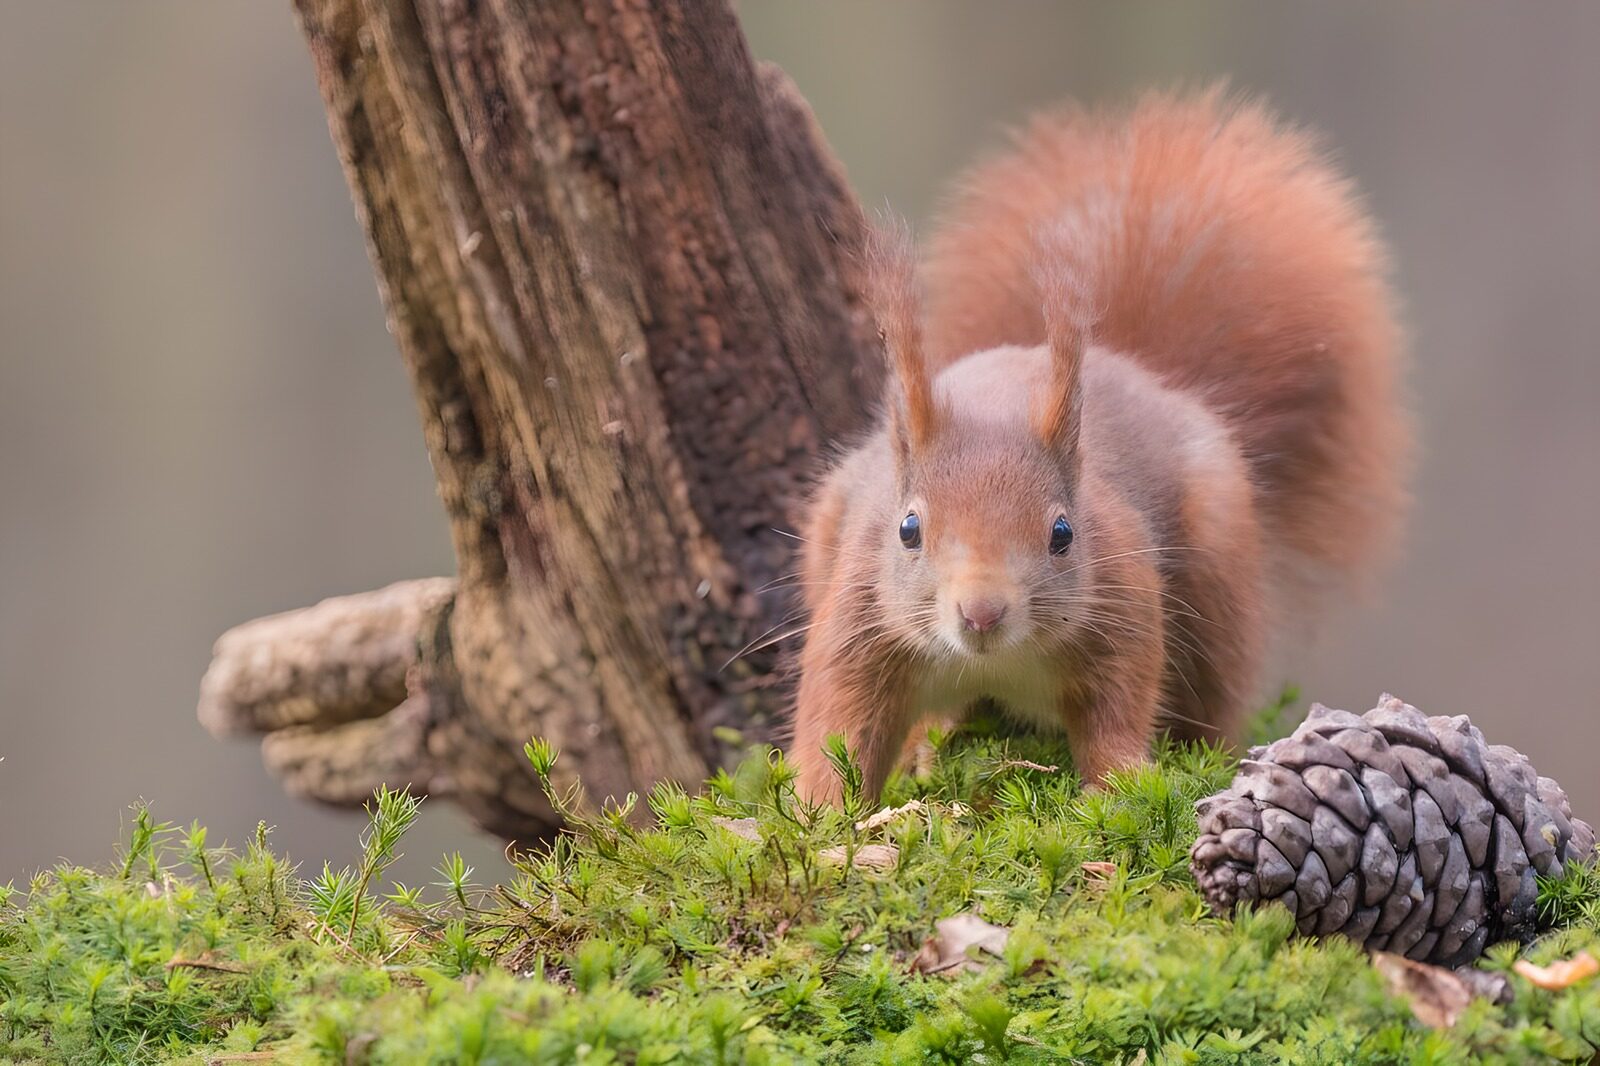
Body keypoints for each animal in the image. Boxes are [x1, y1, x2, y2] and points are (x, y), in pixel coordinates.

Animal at [789, 88, 1409, 804]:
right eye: (908, 529)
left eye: (1063, 533)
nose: (982, 613)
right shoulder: (858, 616)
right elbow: (838, 723)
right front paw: (824, 812)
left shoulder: (1123, 602)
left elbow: (1118, 709)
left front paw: (1119, 789)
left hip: (1219, 574)